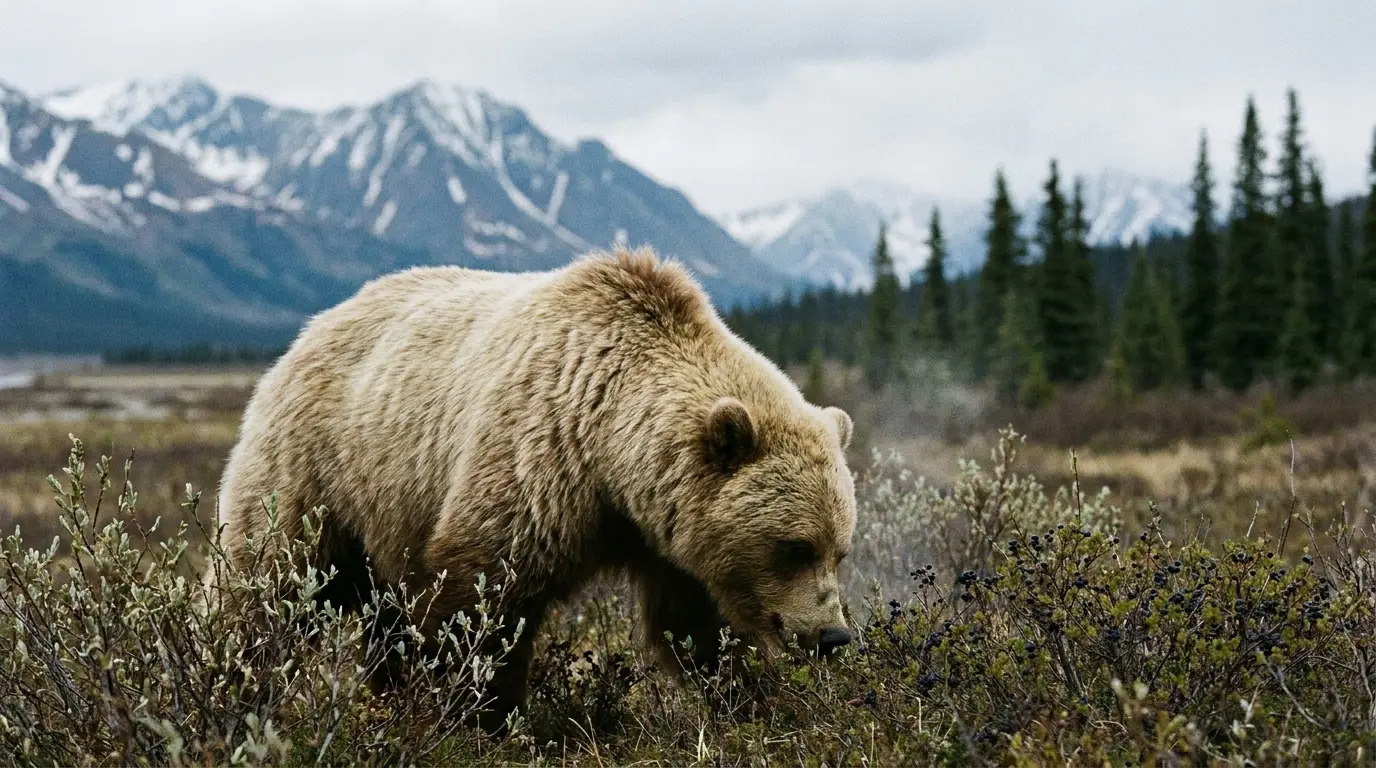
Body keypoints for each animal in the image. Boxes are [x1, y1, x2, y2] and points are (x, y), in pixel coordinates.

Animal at [214, 246, 857, 724]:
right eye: (795, 547)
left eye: (840, 550)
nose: (832, 635)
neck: (614, 455)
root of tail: (311, 327)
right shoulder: (540, 453)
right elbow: (482, 600)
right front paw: (476, 714)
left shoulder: (670, 535)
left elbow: (695, 626)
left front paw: (754, 698)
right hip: (320, 466)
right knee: (265, 585)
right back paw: (234, 686)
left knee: (380, 618)